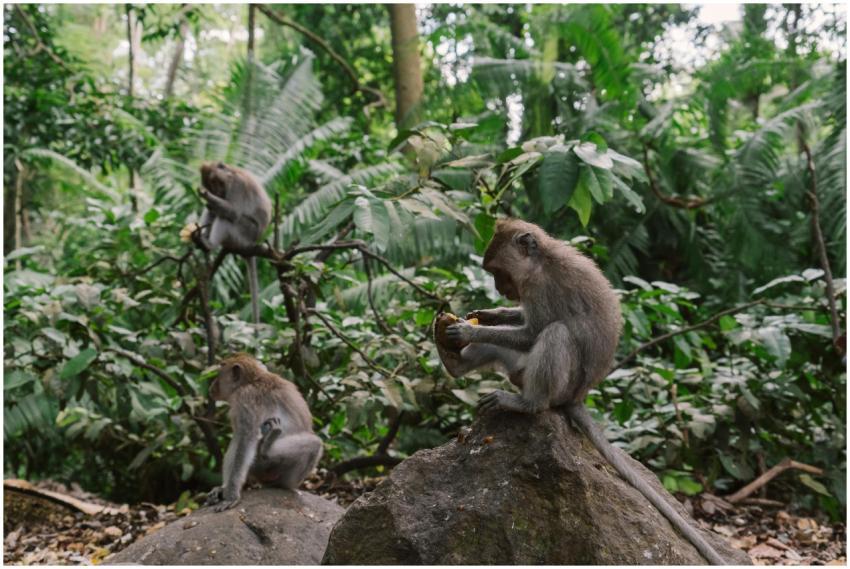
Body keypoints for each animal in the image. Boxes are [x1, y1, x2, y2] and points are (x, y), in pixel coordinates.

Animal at [197, 161, 272, 324]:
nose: (217, 192)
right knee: (215, 212)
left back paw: (208, 244)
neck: (231, 174)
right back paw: (200, 238)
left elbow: (233, 212)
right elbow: (213, 210)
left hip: (245, 233)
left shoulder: (237, 185)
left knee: (227, 219)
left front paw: (206, 196)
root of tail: (254, 243)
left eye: (215, 182)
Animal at [206, 353, 323, 512]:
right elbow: (239, 439)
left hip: (271, 470)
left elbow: (246, 440)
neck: (252, 380)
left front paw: (231, 496)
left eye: (218, 375)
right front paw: (224, 488)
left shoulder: (245, 399)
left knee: (314, 444)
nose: (211, 387)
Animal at [438, 218, 727, 565]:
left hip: (560, 385)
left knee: (556, 334)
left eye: (498, 271)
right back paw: (455, 363)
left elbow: (532, 333)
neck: (541, 261)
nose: (499, 289)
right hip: (519, 370)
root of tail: (578, 396)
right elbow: (520, 322)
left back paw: (527, 403)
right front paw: (491, 314)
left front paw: (471, 330)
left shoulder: (540, 288)